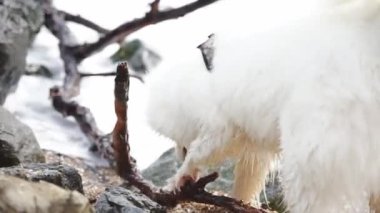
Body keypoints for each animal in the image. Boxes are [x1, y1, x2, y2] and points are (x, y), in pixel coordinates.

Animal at [146, 0, 380, 212]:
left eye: (174, 140)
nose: (177, 154)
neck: (204, 73)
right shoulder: (253, 143)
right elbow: (249, 176)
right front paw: (242, 201)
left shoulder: (221, 126)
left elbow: (199, 153)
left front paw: (178, 179)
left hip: (310, 151)